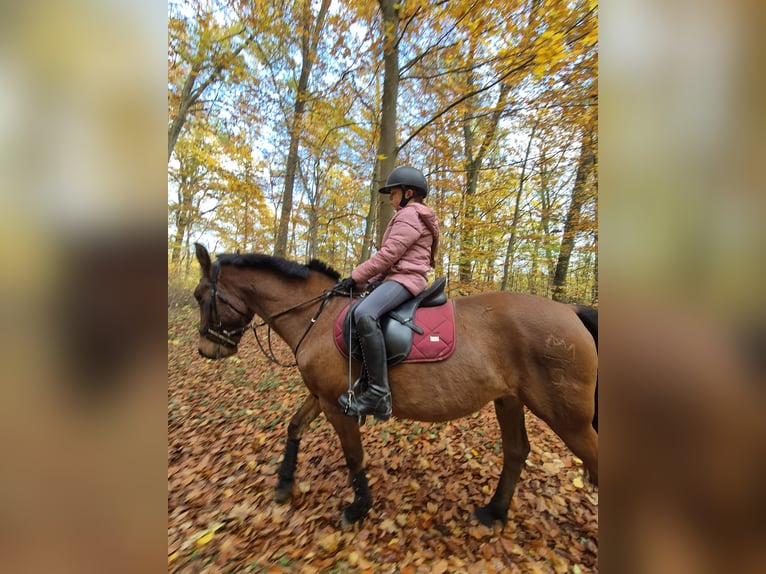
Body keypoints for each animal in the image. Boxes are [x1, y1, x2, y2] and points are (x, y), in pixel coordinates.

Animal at [192, 243, 598, 528]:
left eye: (199, 296)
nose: (206, 350)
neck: (318, 318)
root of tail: (570, 310)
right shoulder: (320, 396)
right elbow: (294, 427)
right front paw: (284, 482)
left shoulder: (337, 406)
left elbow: (353, 456)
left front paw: (358, 508)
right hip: (510, 400)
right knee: (516, 452)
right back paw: (493, 512)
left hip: (567, 416)